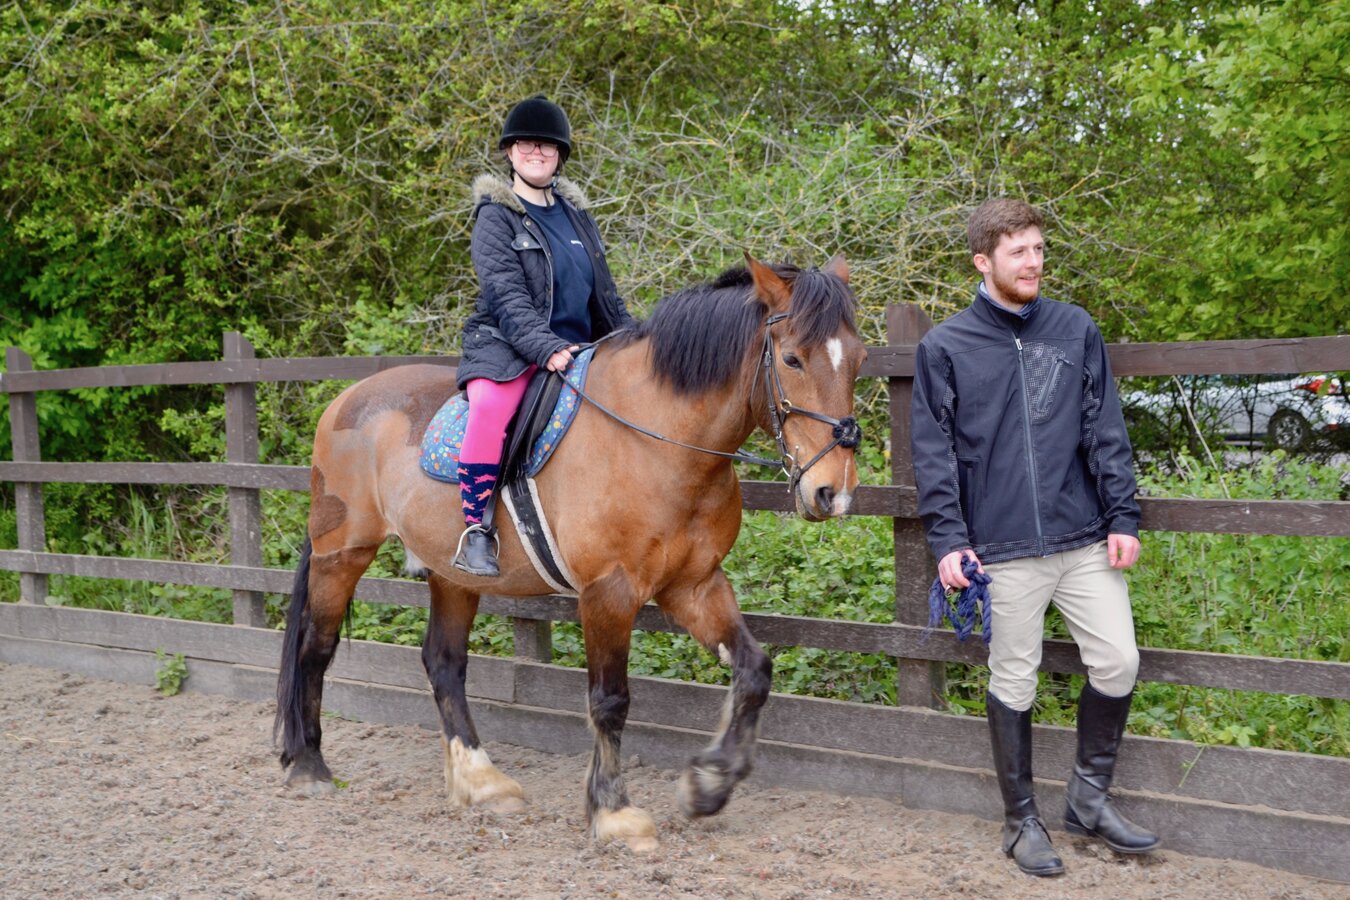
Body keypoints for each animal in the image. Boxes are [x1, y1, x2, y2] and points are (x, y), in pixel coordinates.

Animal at [274, 254, 867, 851]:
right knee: (315, 649)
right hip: (341, 554)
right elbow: (610, 701)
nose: (831, 492)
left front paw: (708, 783)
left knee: (443, 663)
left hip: (453, 575)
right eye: (792, 358)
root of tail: (347, 399)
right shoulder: (609, 592)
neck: (656, 442)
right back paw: (309, 768)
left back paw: (481, 781)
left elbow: (754, 671)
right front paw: (614, 812)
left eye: (859, 358)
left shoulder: (694, 584)